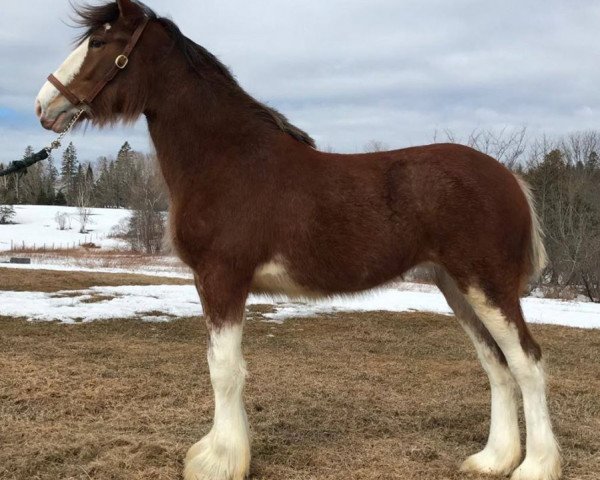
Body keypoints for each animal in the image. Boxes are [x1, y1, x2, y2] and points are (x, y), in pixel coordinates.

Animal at [35, 1, 564, 478]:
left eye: (99, 42)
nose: (43, 106)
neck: (227, 160)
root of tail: (510, 178)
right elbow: (225, 366)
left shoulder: (222, 278)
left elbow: (224, 369)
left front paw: (219, 462)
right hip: (456, 286)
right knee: (496, 365)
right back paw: (492, 460)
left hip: (487, 286)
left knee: (527, 362)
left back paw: (535, 467)